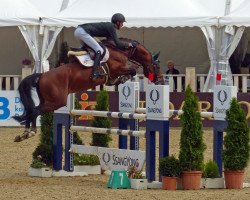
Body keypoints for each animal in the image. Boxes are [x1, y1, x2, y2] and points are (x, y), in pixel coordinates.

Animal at [13, 38, 164, 142]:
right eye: (157, 66)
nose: (161, 81)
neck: (120, 51)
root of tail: (42, 75)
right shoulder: (117, 69)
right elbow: (132, 71)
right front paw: (122, 79)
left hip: (48, 100)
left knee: (32, 111)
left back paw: (23, 134)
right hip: (56, 102)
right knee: (34, 111)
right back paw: (30, 132)